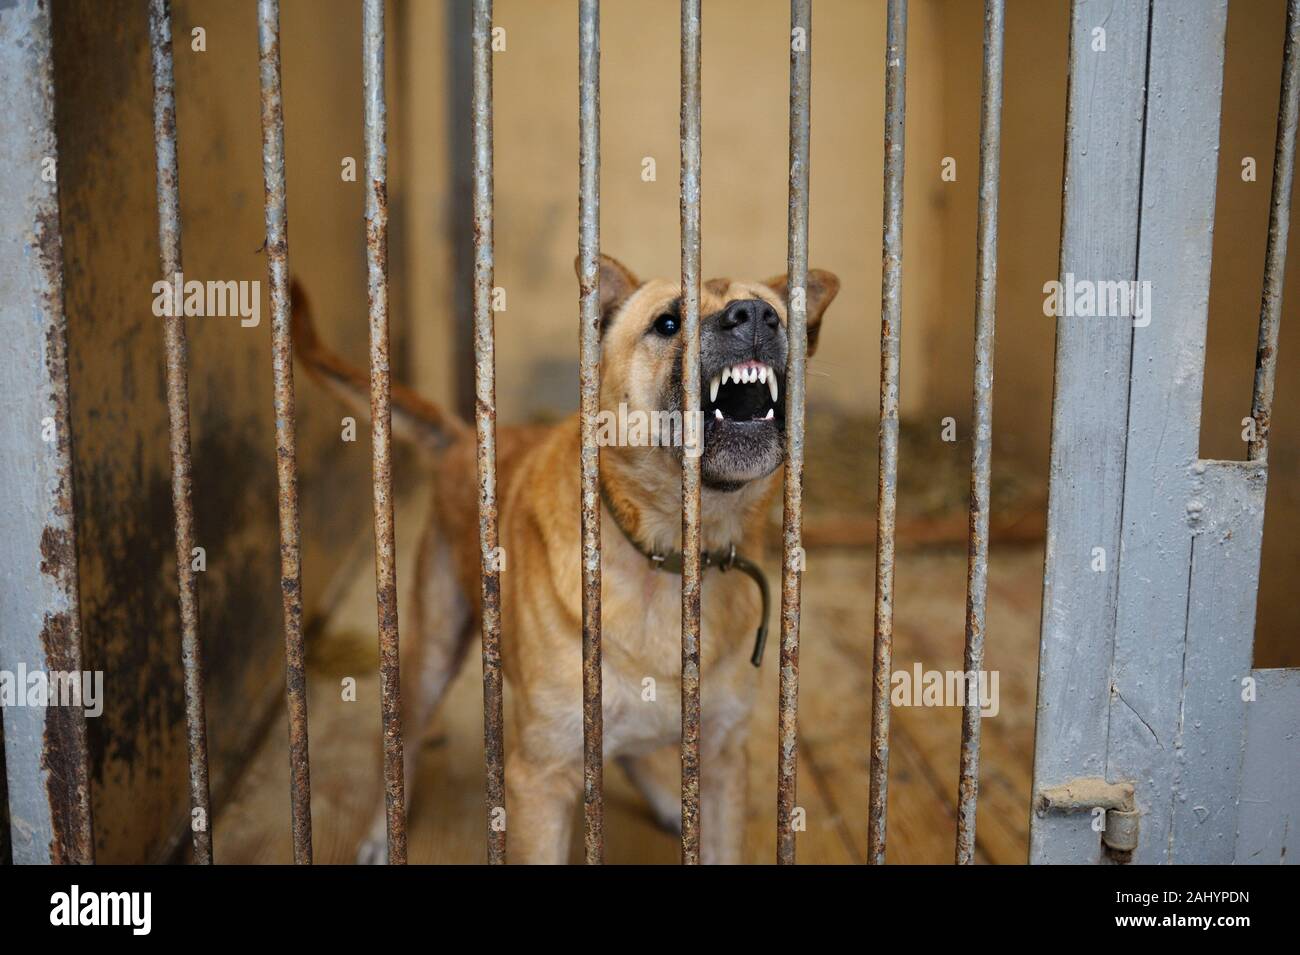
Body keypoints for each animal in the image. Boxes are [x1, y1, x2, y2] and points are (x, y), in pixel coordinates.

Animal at [292, 255, 842, 867]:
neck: (668, 557)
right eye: (668, 323)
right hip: (431, 650)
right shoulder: (540, 777)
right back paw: (379, 834)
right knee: (399, 737)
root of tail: (463, 438)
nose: (755, 316)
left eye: (779, 316)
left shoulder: (722, 758)